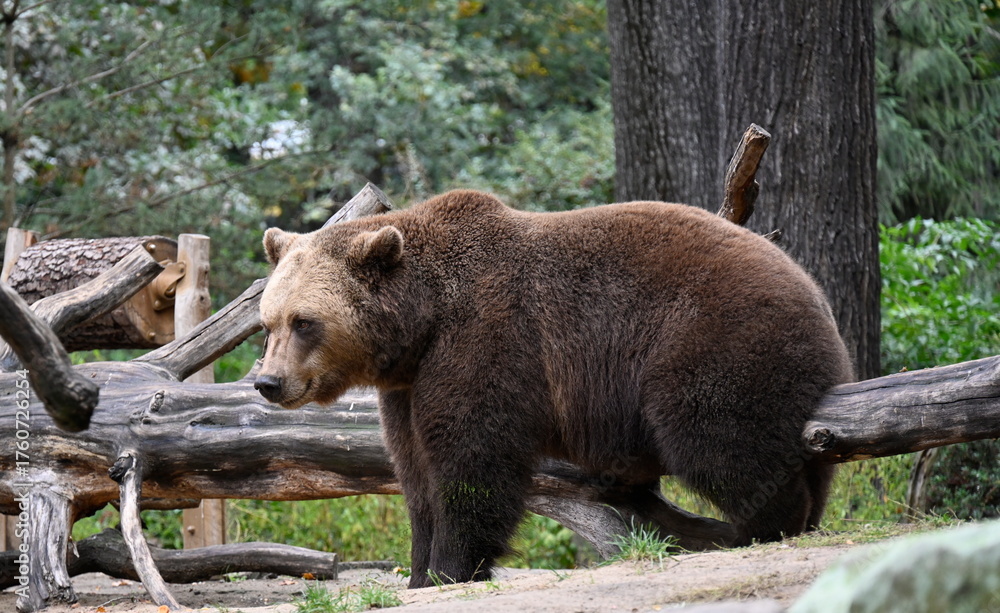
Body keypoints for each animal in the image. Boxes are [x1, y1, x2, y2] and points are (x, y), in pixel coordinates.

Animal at [255, 189, 854, 588]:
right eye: (268, 322)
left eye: (305, 321)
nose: (268, 382)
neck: (420, 324)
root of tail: (816, 294)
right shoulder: (407, 386)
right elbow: (415, 472)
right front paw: (420, 572)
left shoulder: (486, 340)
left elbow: (473, 459)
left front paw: (453, 568)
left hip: (714, 340)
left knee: (718, 438)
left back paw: (764, 527)